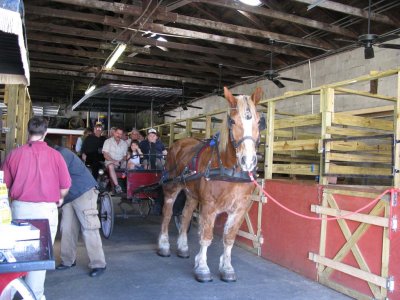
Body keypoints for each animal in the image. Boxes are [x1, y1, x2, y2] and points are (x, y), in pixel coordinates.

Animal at [158, 86, 264, 282]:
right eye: (233, 121)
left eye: (259, 121)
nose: (248, 161)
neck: (229, 169)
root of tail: (179, 143)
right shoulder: (209, 206)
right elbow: (206, 236)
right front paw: (202, 268)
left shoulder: (240, 208)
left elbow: (229, 238)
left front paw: (227, 268)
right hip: (171, 188)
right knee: (167, 214)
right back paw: (163, 245)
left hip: (191, 194)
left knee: (185, 216)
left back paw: (183, 248)